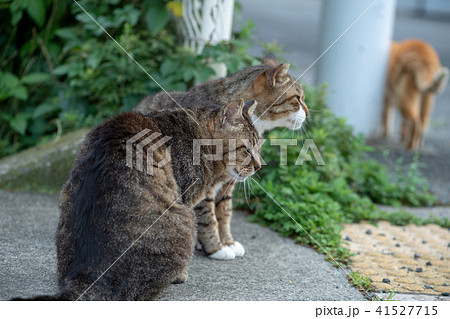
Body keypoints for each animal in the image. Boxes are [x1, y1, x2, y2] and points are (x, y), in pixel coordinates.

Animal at [13, 99, 260, 302]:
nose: (259, 166)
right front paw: (187, 270)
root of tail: (87, 275)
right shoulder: (187, 198)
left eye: (259, 147)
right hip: (183, 220)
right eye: (247, 149)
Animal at [134, 54, 310, 260]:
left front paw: (227, 241)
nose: (308, 113)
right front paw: (215, 247)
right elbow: (208, 217)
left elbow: (224, 212)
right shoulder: (204, 185)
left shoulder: (229, 182)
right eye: (298, 98)